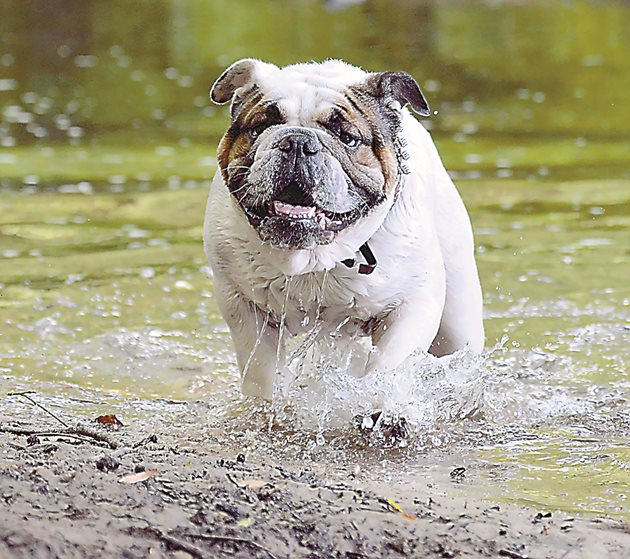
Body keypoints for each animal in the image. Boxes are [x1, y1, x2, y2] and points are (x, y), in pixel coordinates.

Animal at [205, 59, 486, 400]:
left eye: (348, 138)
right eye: (259, 128)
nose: (298, 141)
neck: (313, 257)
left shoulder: (411, 306)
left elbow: (388, 365)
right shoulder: (242, 306)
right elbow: (262, 373)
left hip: (458, 323)